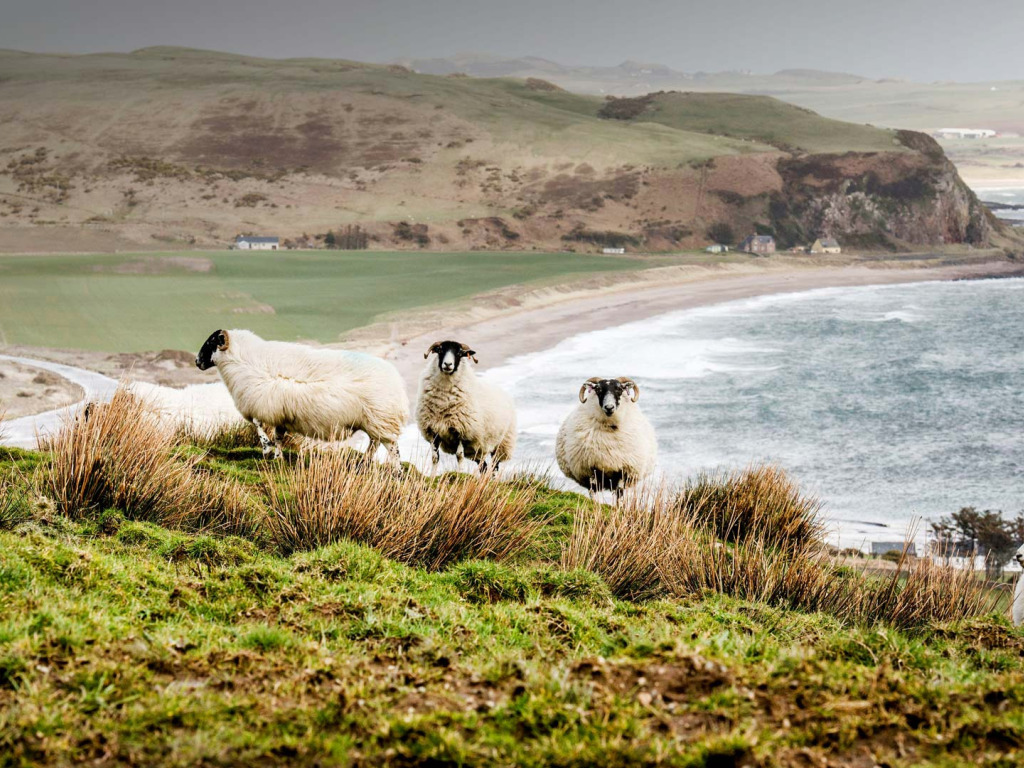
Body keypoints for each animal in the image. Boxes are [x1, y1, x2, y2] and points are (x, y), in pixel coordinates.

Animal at [194, 329, 407, 466]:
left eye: (211, 342)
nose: (196, 362)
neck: (241, 360)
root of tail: (397, 382)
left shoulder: (260, 404)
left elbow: (257, 425)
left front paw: (266, 449)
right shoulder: (279, 412)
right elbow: (278, 436)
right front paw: (277, 457)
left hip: (381, 418)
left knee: (392, 448)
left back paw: (395, 473)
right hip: (373, 421)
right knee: (375, 443)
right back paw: (365, 461)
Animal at [413, 339, 516, 473]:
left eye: (459, 353)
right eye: (440, 350)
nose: (447, 364)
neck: (443, 403)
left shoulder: (463, 431)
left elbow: (459, 456)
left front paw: (460, 473)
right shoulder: (433, 432)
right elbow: (435, 458)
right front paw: (432, 475)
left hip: (501, 444)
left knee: (494, 466)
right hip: (476, 450)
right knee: (484, 467)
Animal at [557, 374, 659, 505]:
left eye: (619, 389)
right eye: (598, 389)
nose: (609, 407)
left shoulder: (624, 469)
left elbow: (619, 492)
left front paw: (618, 508)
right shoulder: (590, 468)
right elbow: (593, 491)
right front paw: (595, 506)